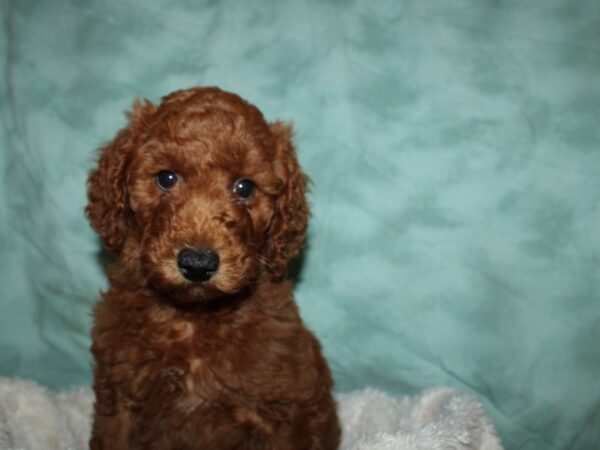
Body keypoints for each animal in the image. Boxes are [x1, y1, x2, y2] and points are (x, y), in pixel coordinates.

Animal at [85, 86, 340, 448]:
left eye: (244, 187)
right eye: (166, 178)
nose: (197, 264)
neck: (194, 318)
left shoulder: (287, 407)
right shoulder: (118, 398)